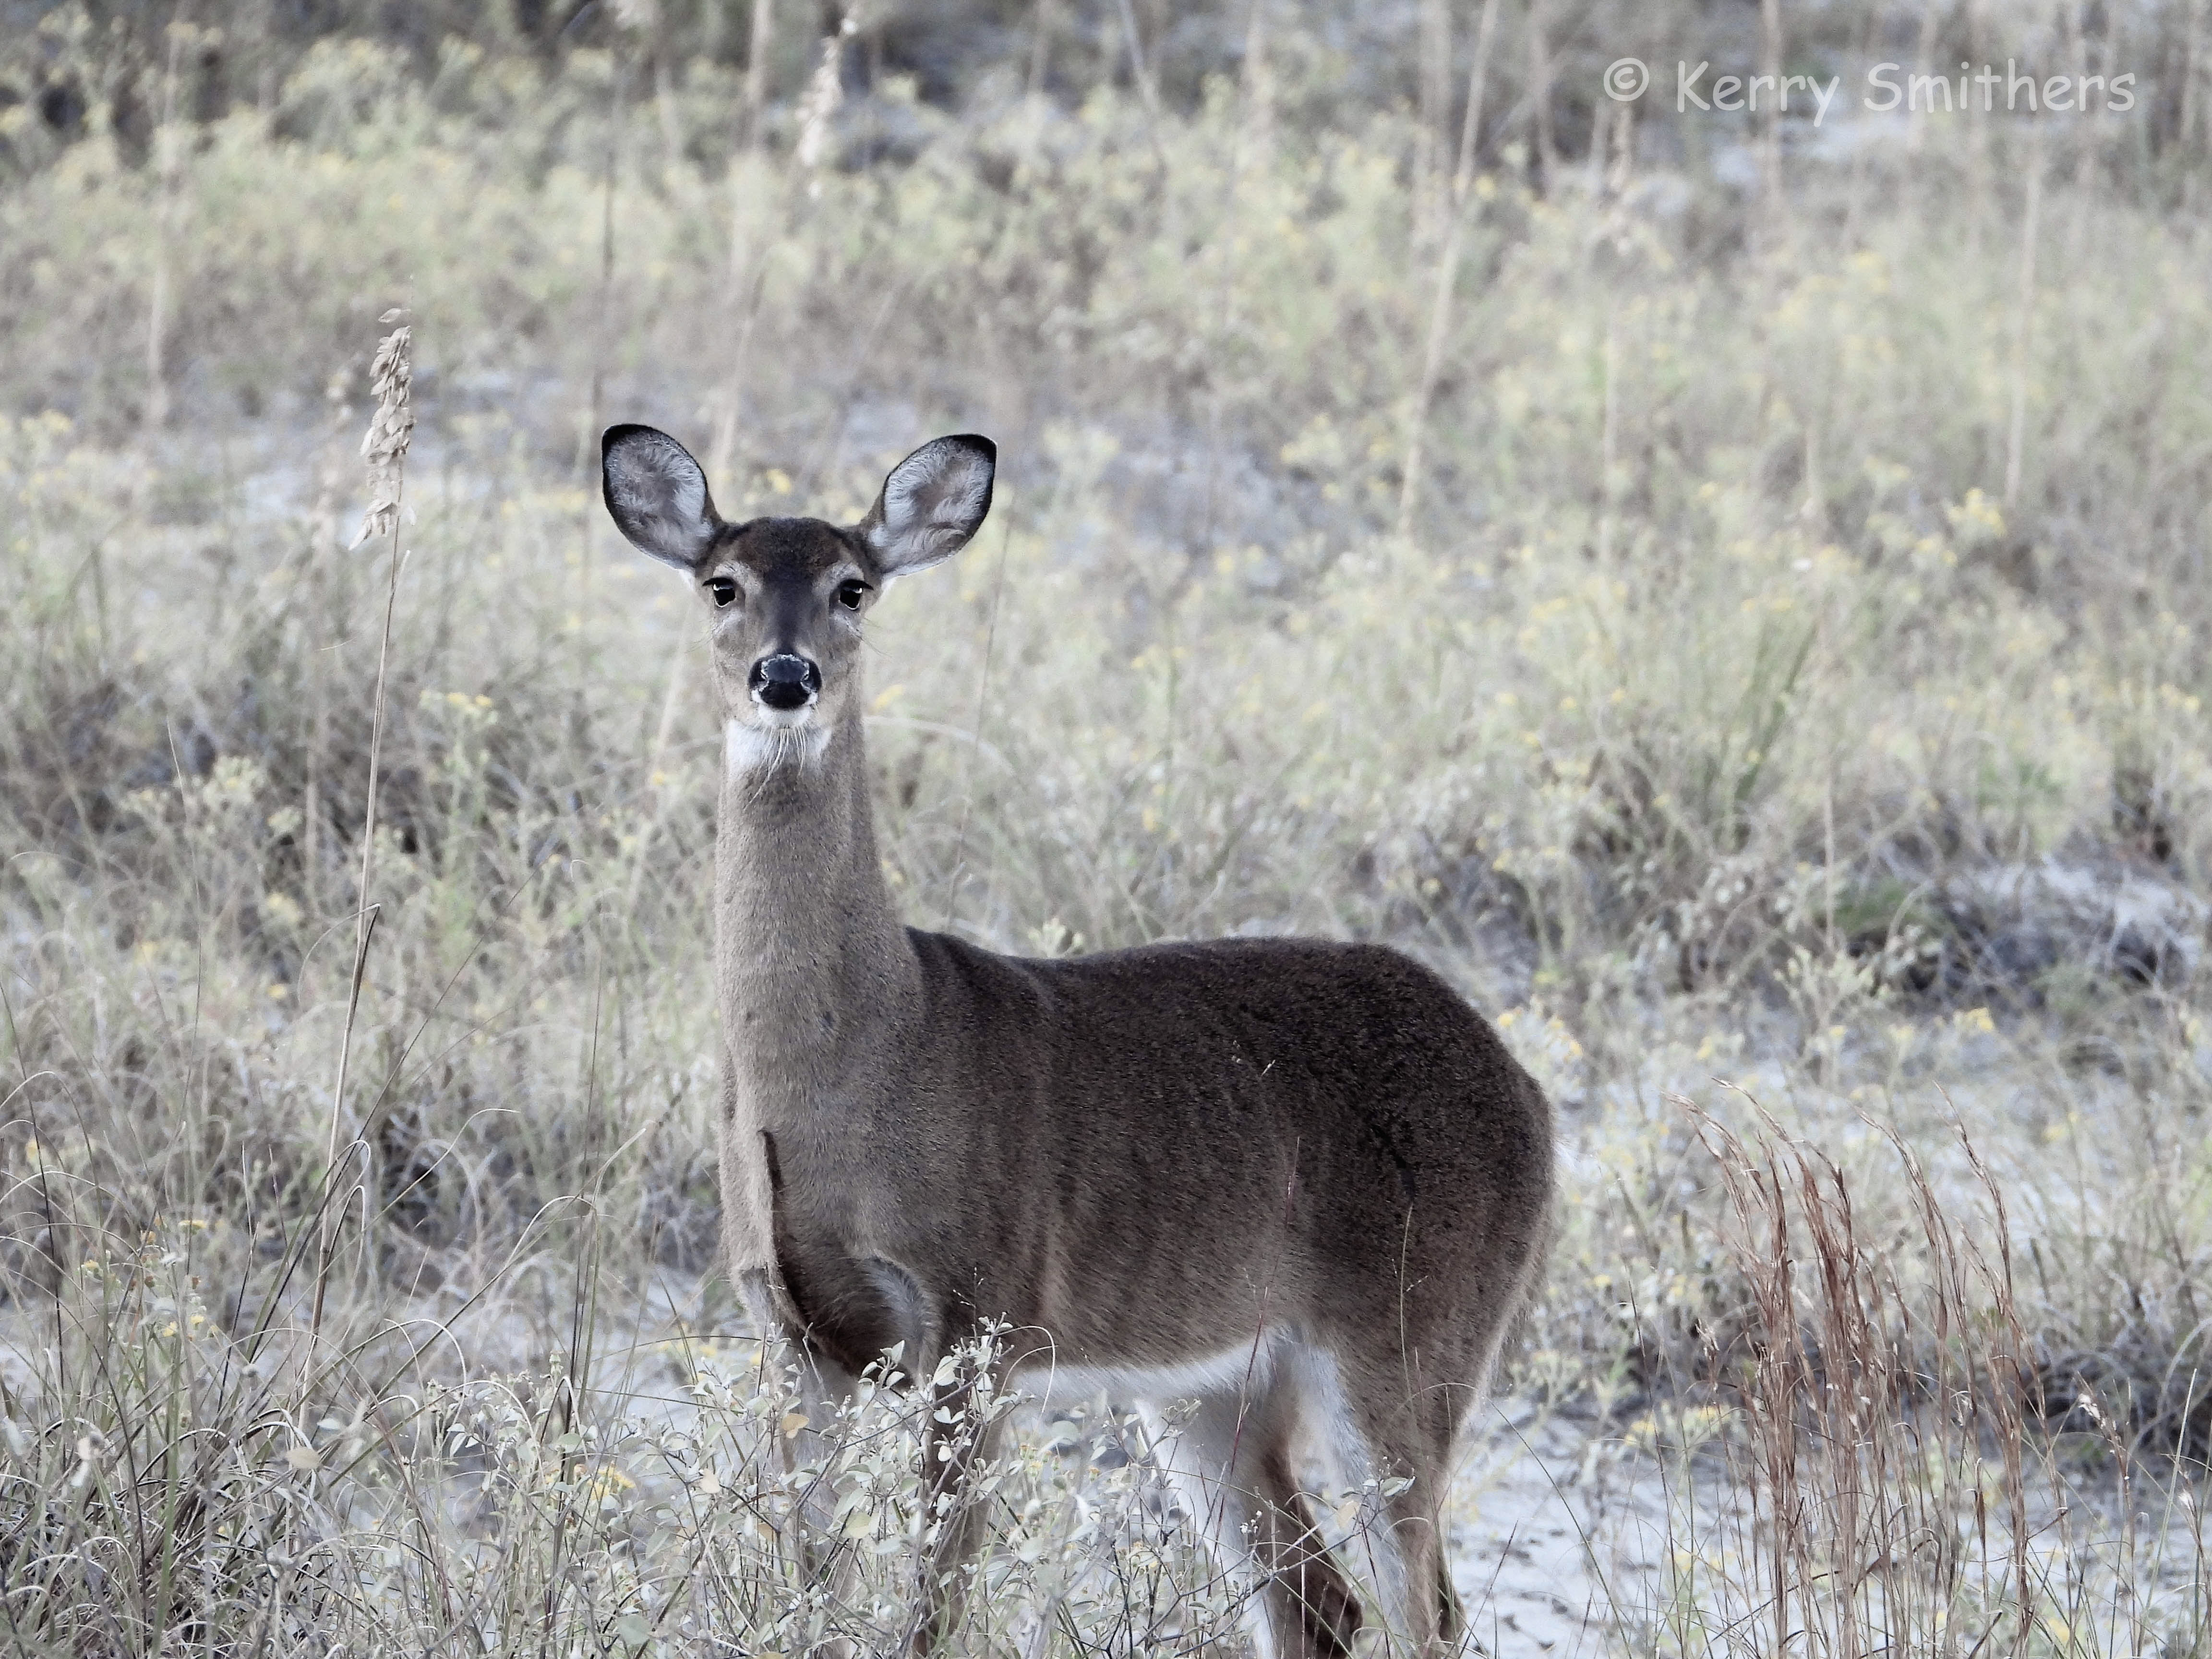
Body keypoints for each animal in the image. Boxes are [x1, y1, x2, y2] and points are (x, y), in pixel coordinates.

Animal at [600, 422, 1555, 1659]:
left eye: (855, 584)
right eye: (723, 582)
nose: (785, 675)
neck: (856, 1060)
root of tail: (1530, 1095)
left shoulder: (980, 1318)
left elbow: (931, 1604)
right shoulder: (792, 1334)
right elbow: (811, 1591)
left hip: (1415, 1332)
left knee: (1427, 1609)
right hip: (1210, 1385)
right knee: (1320, 1603)